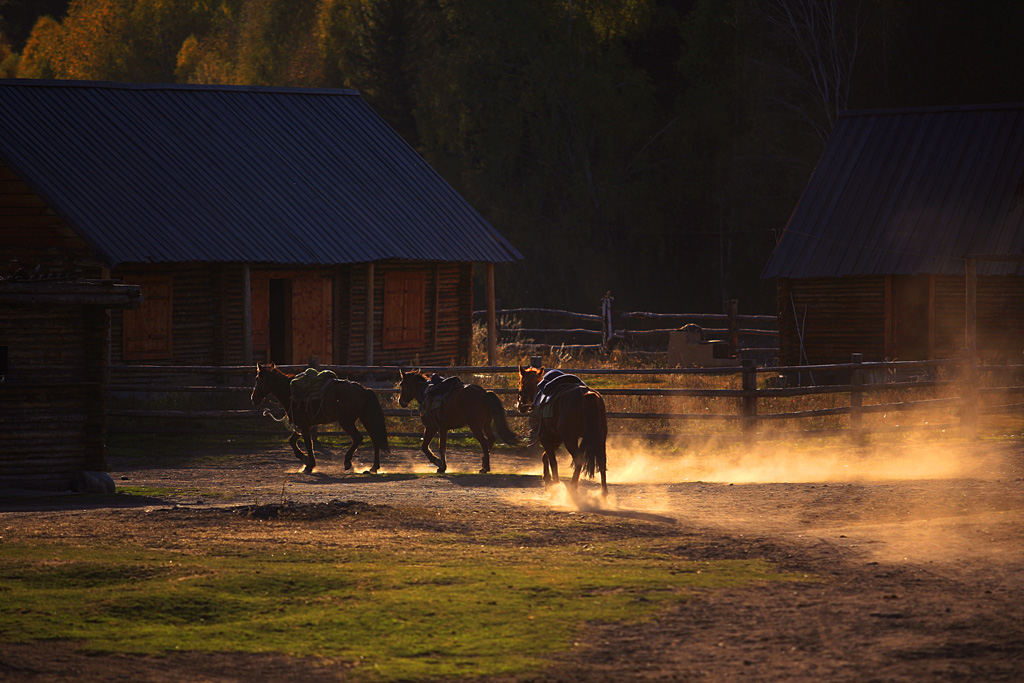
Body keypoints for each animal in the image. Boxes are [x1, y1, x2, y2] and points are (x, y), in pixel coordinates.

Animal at [249, 362, 389, 475]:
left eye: (257, 379)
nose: (253, 398)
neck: (290, 392)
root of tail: (364, 390)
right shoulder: (303, 425)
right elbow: (292, 441)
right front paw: (305, 460)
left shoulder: (304, 425)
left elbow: (308, 444)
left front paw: (309, 465)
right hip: (365, 419)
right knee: (375, 440)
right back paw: (373, 468)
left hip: (346, 422)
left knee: (358, 438)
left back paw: (348, 462)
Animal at [516, 368, 602, 497]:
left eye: (520, 383)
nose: (520, 405)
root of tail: (585, 394)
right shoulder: (556, 439)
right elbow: (545, 456)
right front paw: (547, 479)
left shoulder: (545, 437)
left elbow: (552, 460)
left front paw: (553, 482)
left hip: (569, 439)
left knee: (578, 459)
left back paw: (572, 486)